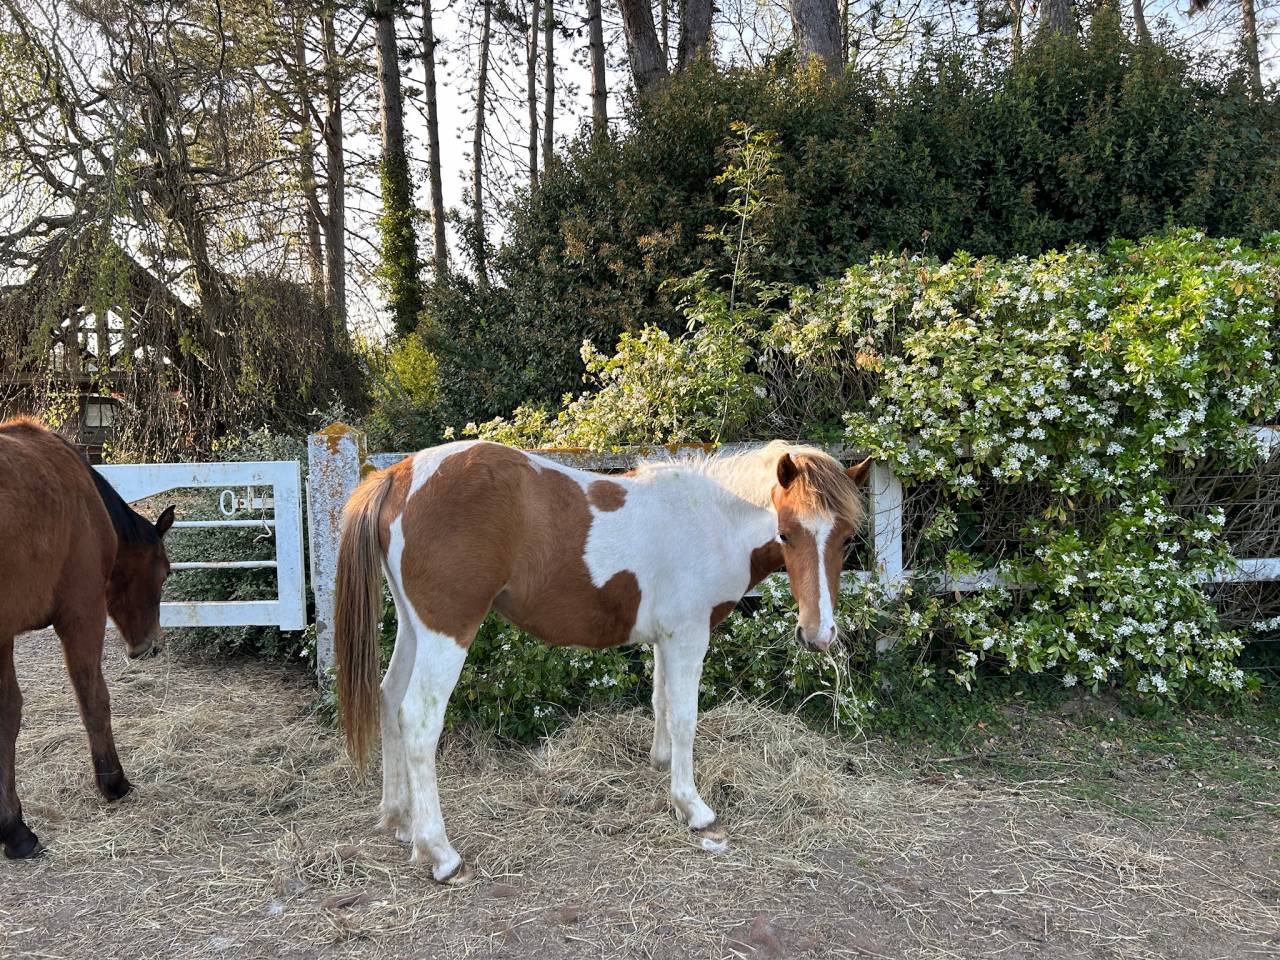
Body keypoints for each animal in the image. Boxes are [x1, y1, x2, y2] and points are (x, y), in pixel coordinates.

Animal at [0, 417, 175, 859]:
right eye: (166, 572)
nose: (151, 644)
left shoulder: (2, 636)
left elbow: (6, 715)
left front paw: (11, 825)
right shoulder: (82, 613)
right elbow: (93, 698)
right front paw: (113, 781)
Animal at [333, 439, 869, 883]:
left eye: (845, 539)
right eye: (787, 533)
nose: (818, 634)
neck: (711, 519)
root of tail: (400, 474)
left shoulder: (666, 638)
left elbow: (660, 703)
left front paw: (662, 767)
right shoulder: (687, 636)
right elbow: (685, 717)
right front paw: (693, 808)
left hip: (414, 627)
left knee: (388, 699)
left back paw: (401, 822)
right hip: (447, 633)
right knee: (418, 720)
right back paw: (441, 853)